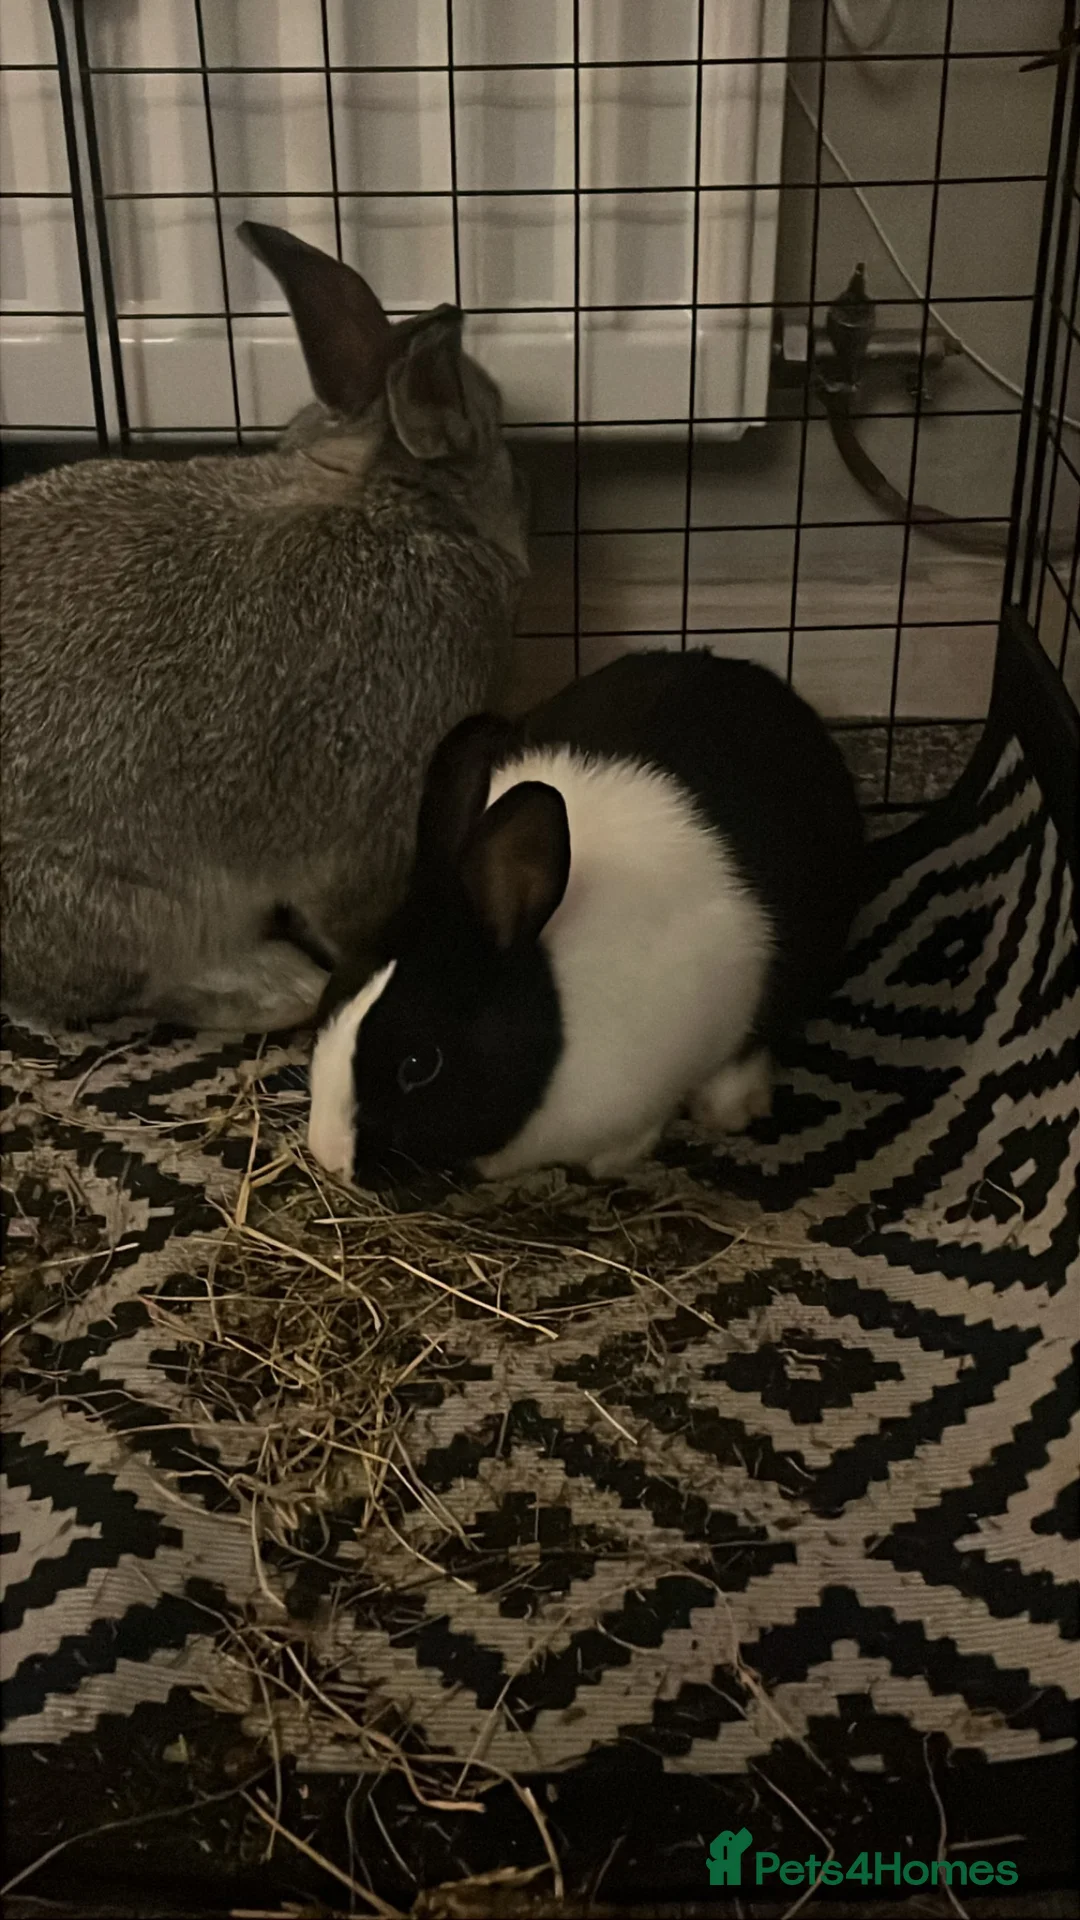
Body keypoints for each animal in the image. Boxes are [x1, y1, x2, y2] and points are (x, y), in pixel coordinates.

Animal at [0, 222, 528, 1033]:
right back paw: (279, 988)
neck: (385, 500)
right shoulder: (383, 790)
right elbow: (357, 909)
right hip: (126, 907)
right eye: (495, 426)